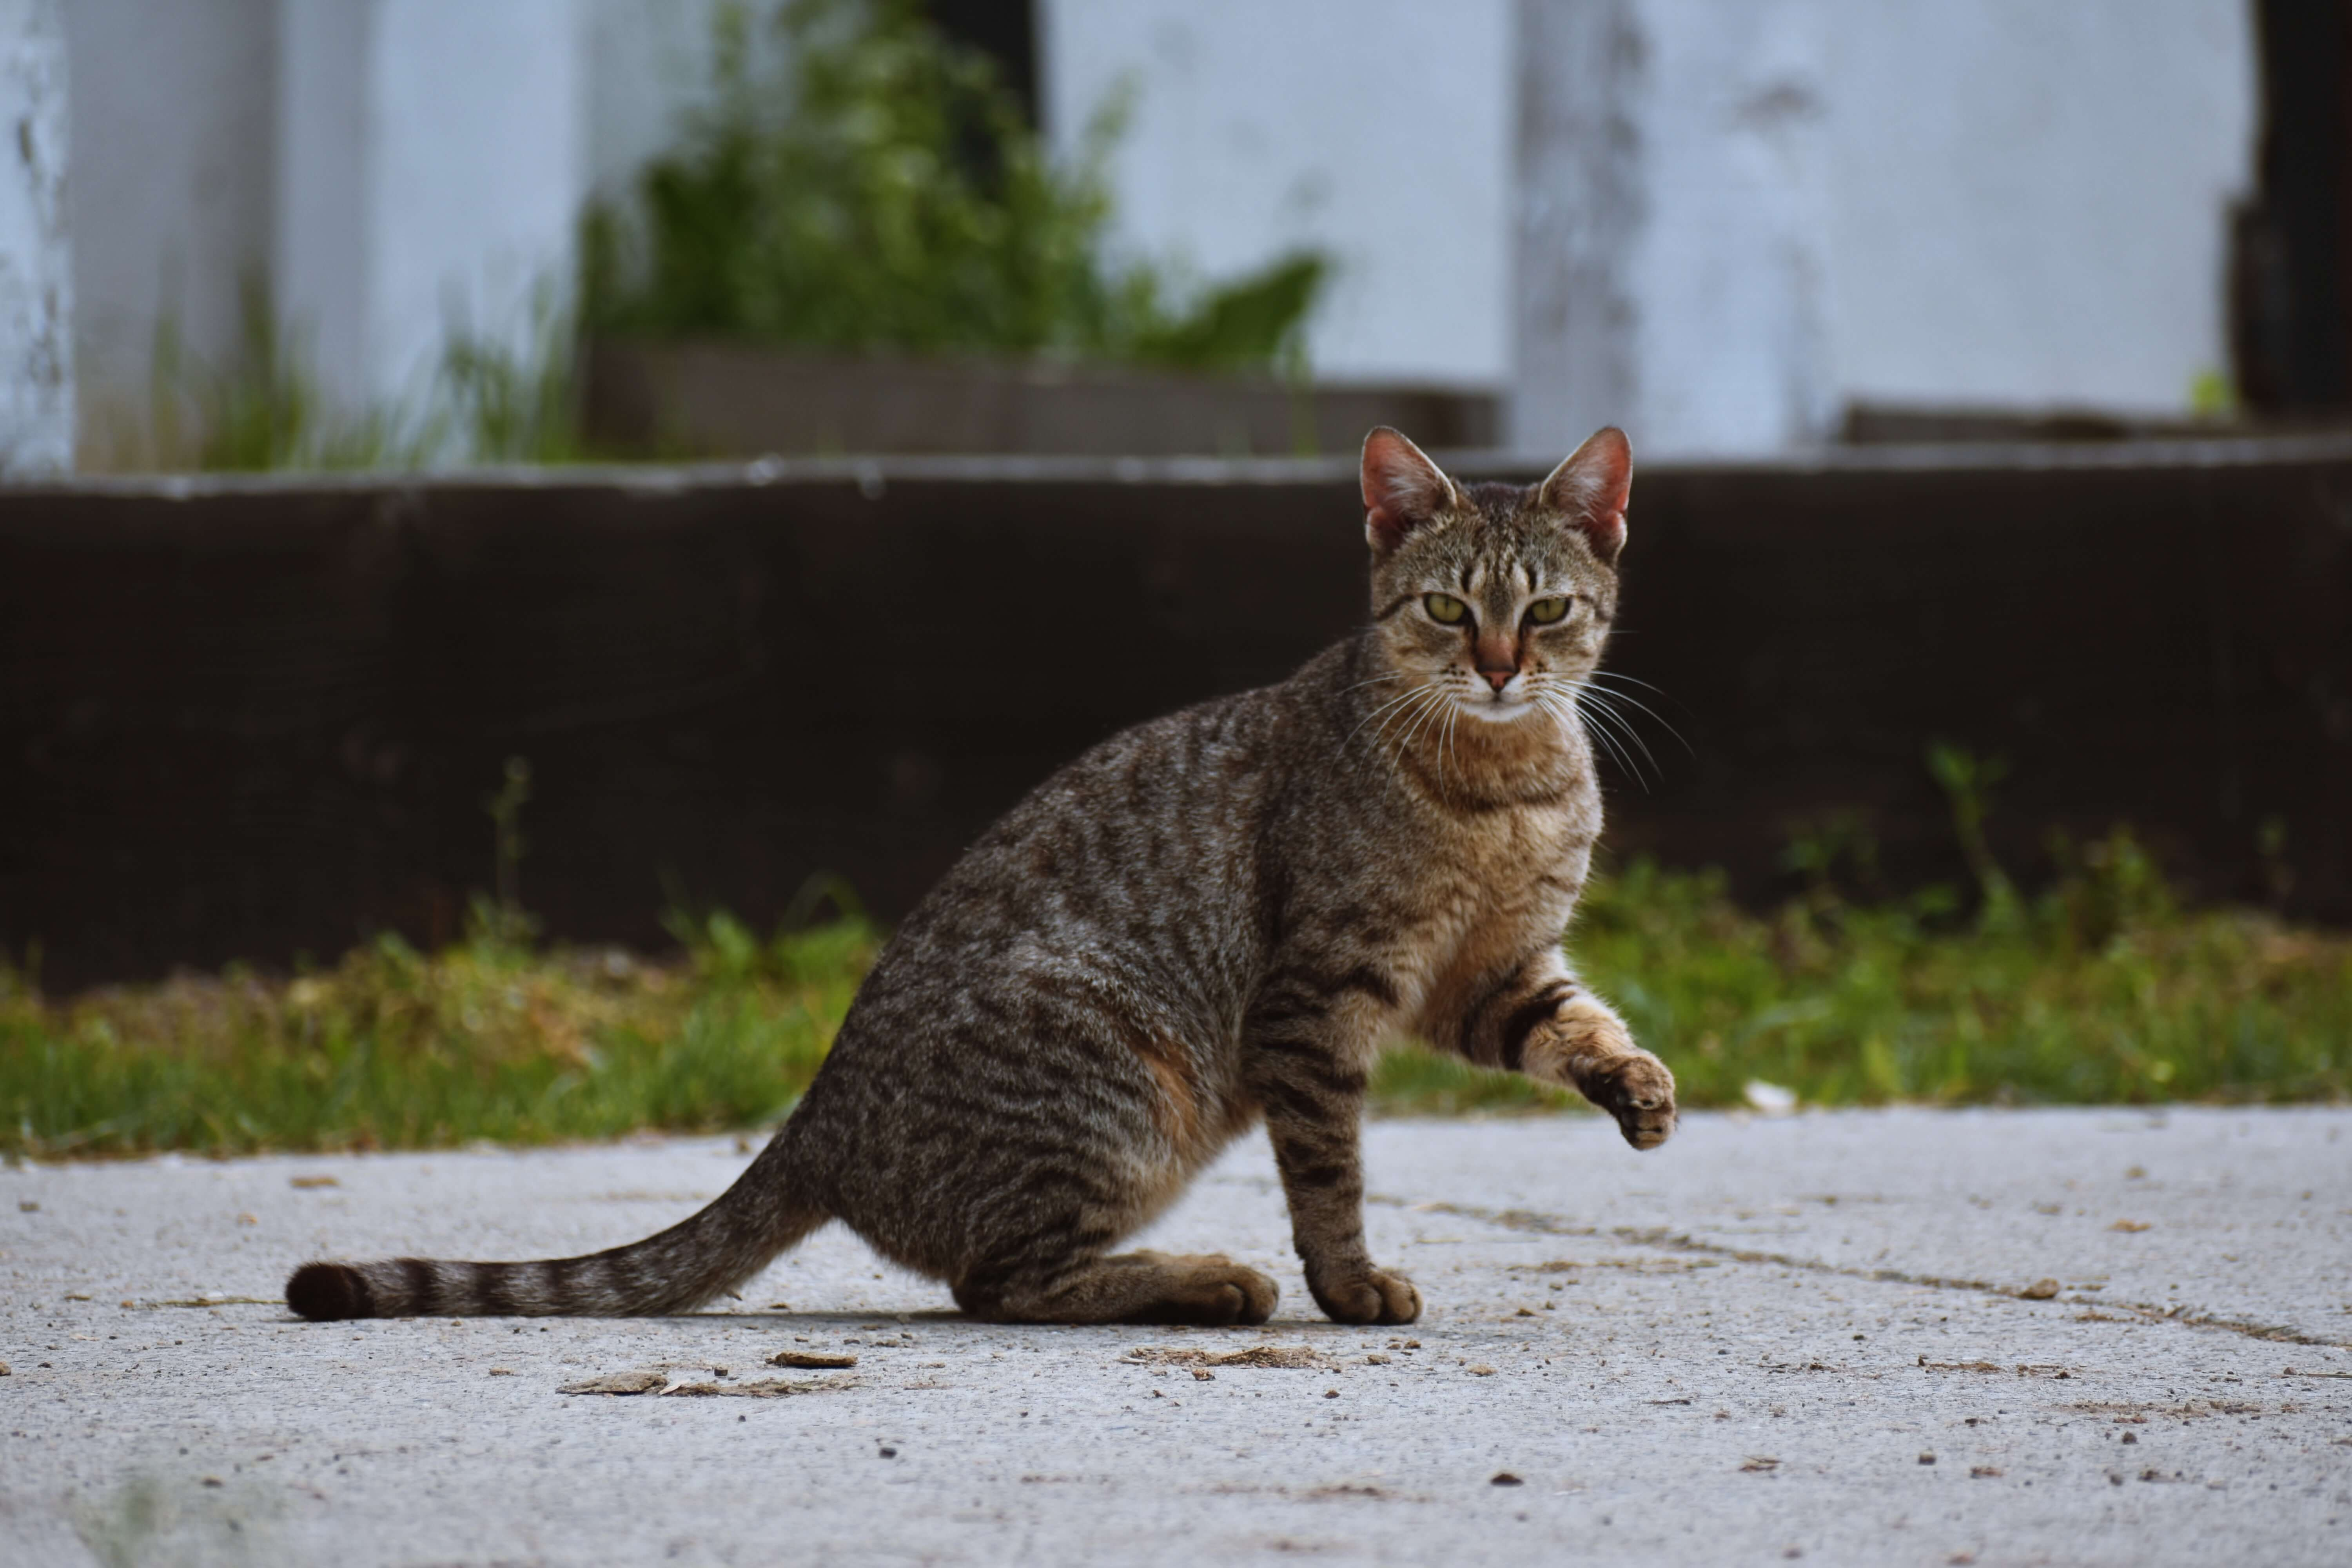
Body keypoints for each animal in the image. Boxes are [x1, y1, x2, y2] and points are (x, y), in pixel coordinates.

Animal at [289, 425, 1675, 1326]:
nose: (1498, 666)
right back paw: (1207, 1283)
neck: (1504, 784)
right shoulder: (1320, 993)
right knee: (998, 1284)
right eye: (1446, 611)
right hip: (1123, 1083)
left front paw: (1636, 1084)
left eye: (1546, 611)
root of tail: (818, 1116)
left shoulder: (1485, 972)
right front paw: (1347, 1285)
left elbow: (1572, 1025)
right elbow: (1329, 1172)